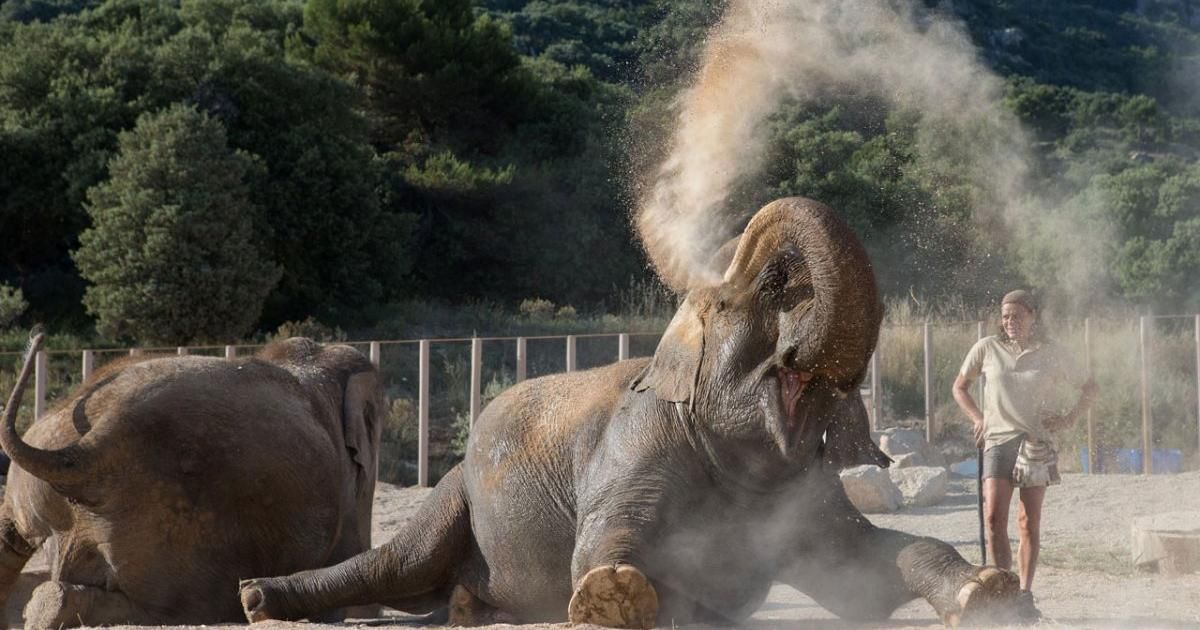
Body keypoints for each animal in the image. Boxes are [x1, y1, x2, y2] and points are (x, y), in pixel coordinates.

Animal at [236, 199, 1022, 624]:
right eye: (751, 296)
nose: (775, 265)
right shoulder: (635, 447)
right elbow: (595, 556)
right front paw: (619, 593)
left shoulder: (801, 492)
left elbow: (862, 574)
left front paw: (991, 589)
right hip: (455, 490)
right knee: (397, 562)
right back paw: (256, 599)